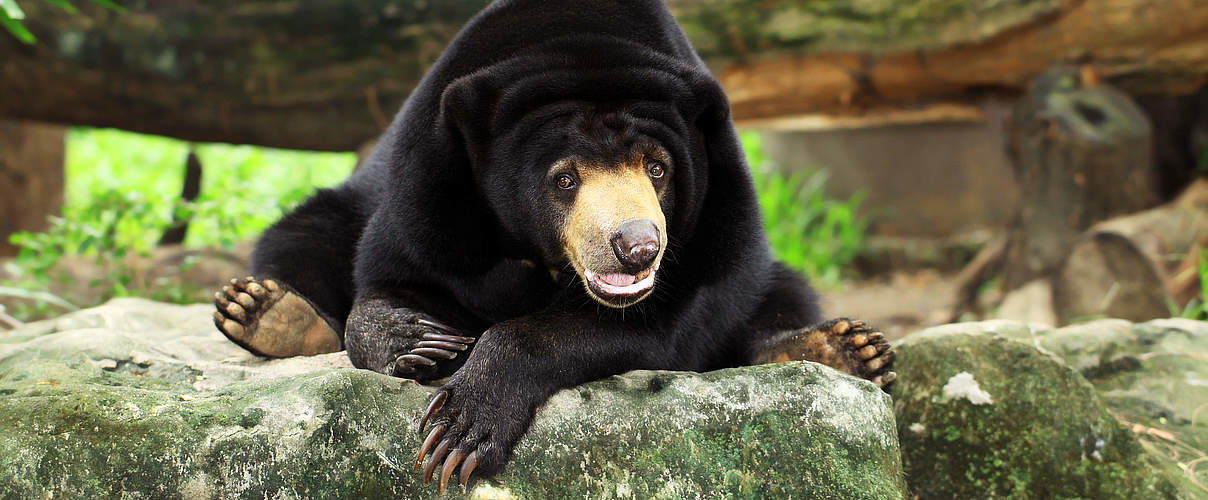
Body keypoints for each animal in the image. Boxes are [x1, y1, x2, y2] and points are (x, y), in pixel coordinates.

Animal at [210, 0, 889, 492]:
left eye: (659, 168)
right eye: (564, 179)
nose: (637, 247)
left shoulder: (719, 218)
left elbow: (657, 323)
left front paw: (462, 427)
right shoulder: (428, 180)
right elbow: (386, 278)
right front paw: (421, 341)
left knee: (780, 292)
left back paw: (844, 349)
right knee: (305, 234)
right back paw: (266, 313)